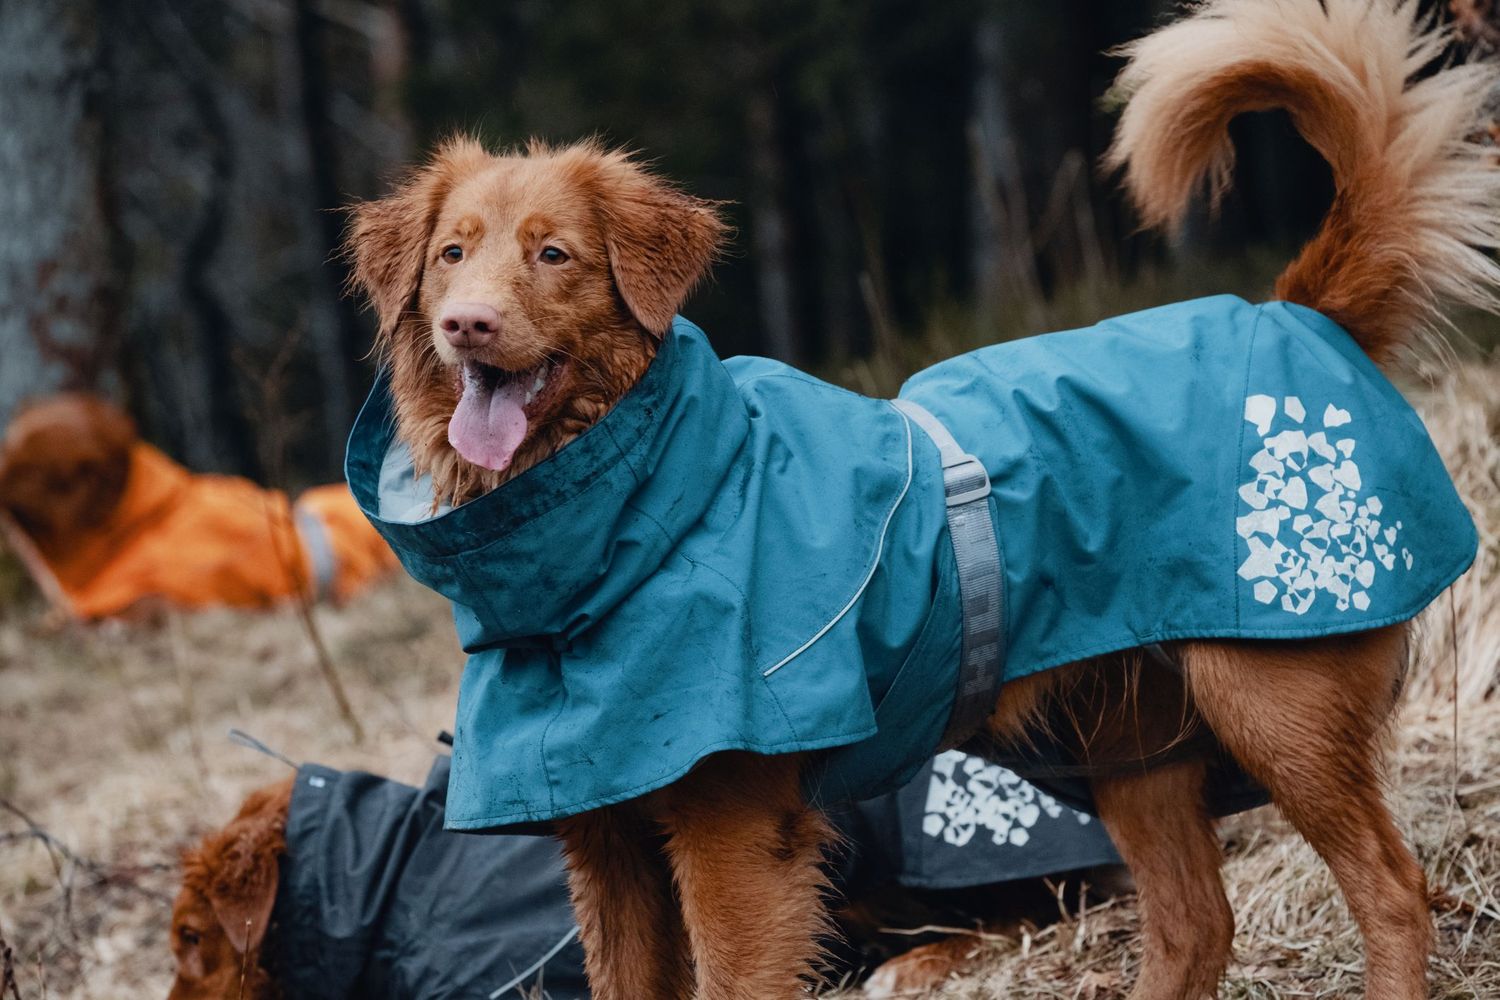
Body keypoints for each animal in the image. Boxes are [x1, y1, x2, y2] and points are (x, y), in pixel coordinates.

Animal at [343, 3, 1500, 995]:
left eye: (555, 255)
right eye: (451, 254)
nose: (467, 324)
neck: (630, 524)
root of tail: (1299, 313)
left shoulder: (734, 838)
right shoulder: (606, 844)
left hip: (1276, 707)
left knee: (1393, 890)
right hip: (1127, 743)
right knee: (1192, 923)